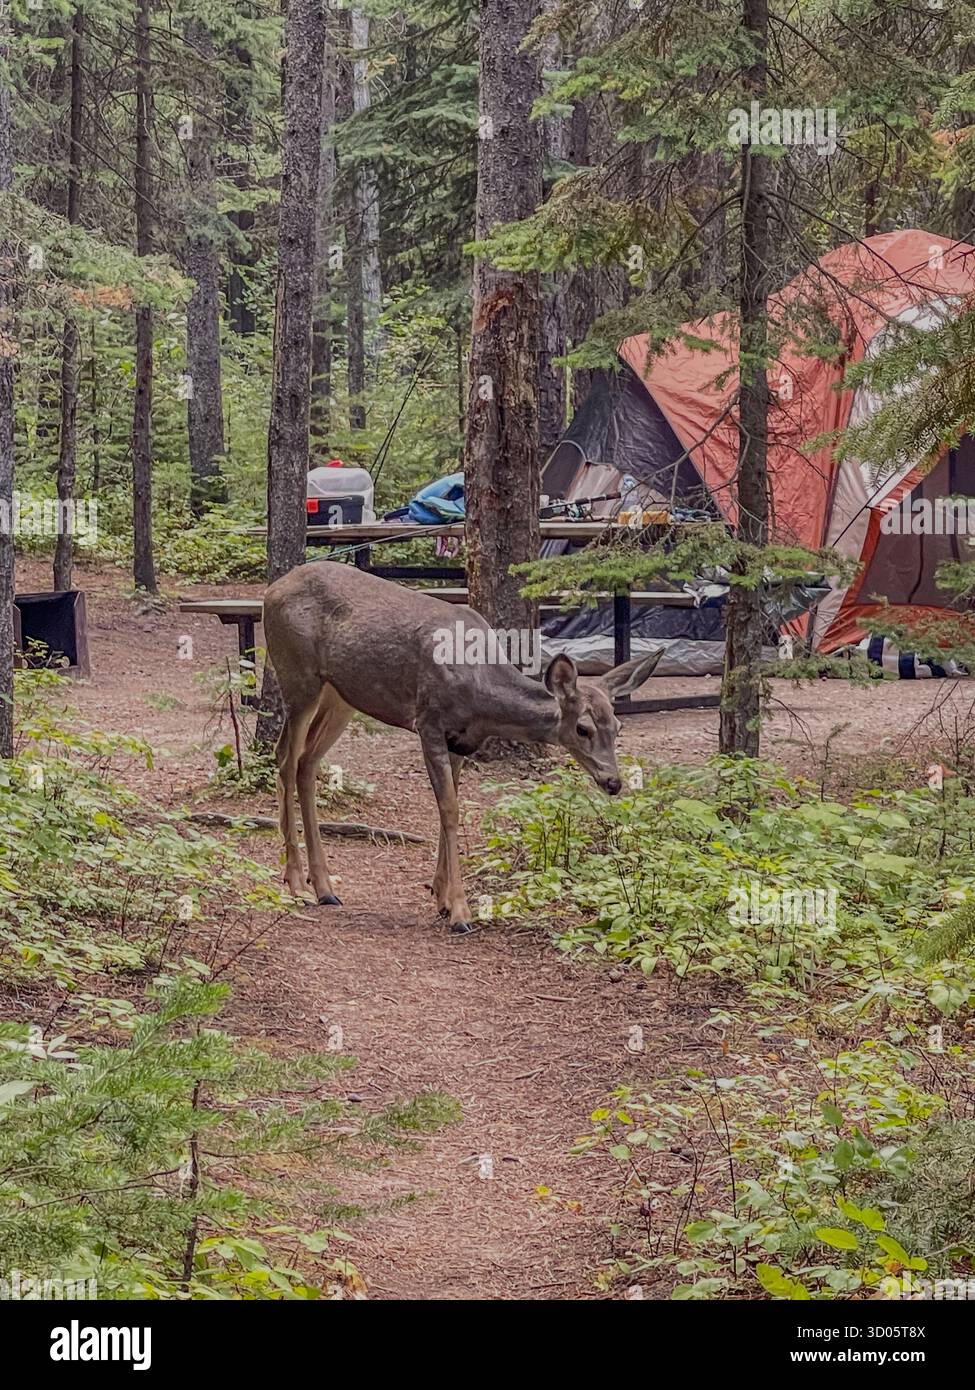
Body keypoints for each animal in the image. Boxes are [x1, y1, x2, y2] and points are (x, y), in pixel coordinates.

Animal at [263, 563, 661, 934]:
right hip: (298, 678)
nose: (613, 782)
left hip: (341, 696)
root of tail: (272, 589)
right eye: (582, 728)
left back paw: (325, 887)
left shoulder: (461, 740)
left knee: (307, 761)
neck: (480, 694)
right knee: (285, 758)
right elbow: (450, 810)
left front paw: (439, 895)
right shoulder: (429, 723)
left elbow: (449, 806)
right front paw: (459, 911)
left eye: (618, 727)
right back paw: (296, 882)